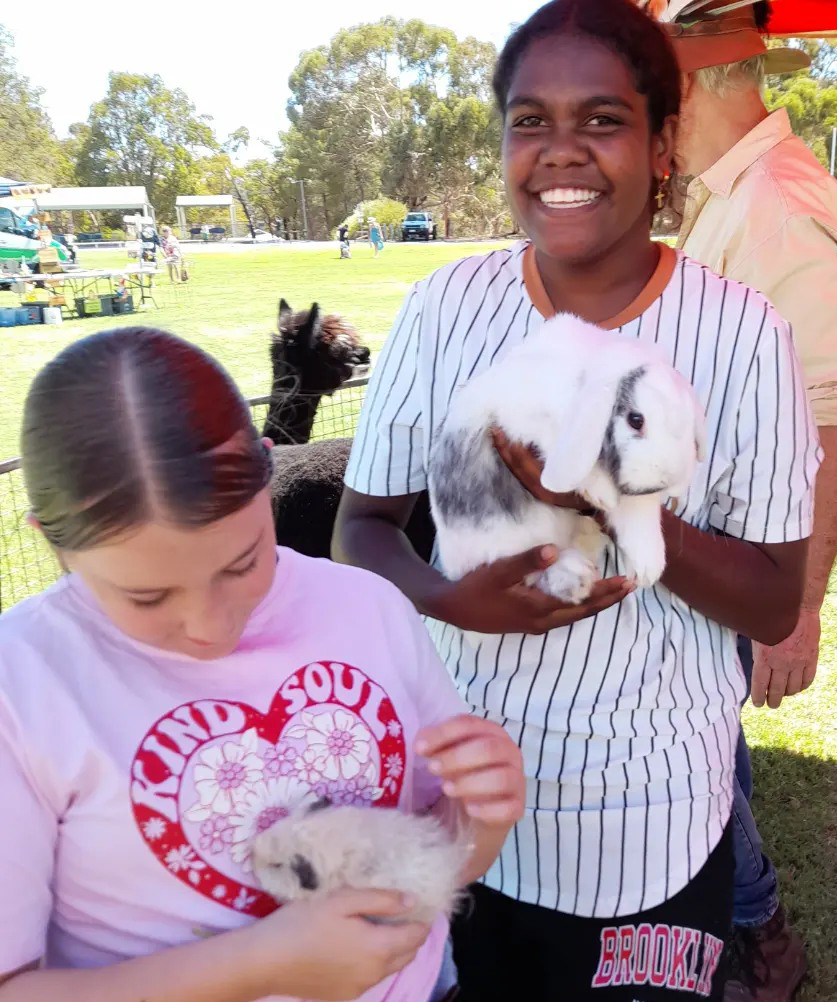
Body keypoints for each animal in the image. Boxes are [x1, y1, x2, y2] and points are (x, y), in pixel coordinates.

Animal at [429, 314, 709, 601]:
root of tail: (453, 570)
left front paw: (648, 569)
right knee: (535, 574)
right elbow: (560, 444)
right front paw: (600, 493)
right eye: (635, 419)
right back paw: (576, 578)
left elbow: (638, 514)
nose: (667, 479)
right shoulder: (524, 418)